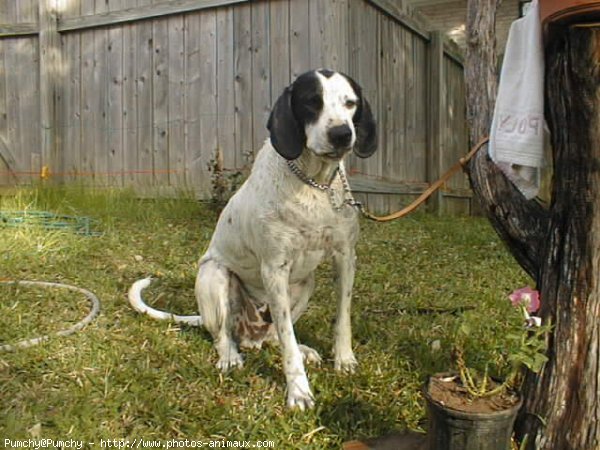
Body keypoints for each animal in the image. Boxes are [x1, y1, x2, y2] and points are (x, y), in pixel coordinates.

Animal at [129, 68, 378, 410]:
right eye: (311, 103)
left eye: (350, 103)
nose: (342, 134)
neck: (313, 185)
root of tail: (251, 333)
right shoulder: (274, 268)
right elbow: (287, 340)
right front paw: (298, 391)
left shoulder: (345, 257)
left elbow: (342, 319)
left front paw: (343, 360)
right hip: (215, 276)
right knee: (224, 336)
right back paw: (230, 357)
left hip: (305, 283)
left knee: (274, 336)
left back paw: (300, 349)